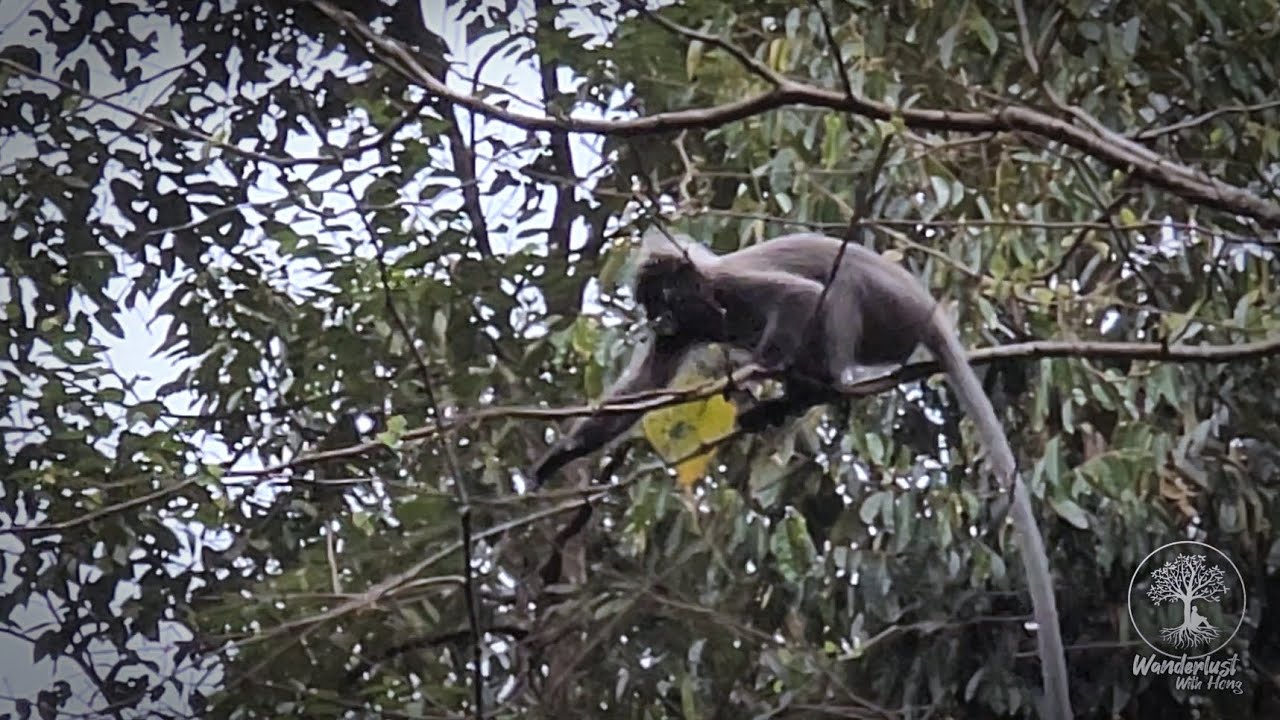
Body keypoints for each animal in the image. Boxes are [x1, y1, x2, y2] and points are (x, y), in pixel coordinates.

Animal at [531, 230, 1072, 720]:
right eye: (650, 305)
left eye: (662, 297)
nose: (655, 319)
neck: (708, 303)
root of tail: (932, 315)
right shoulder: (680, 334)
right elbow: (642, 389)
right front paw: (559, 456)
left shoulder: (731, 287)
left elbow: (800, 297)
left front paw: (762, 366)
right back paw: (784, 403)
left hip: (889, 317)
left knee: (837, 290)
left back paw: (815, 386)